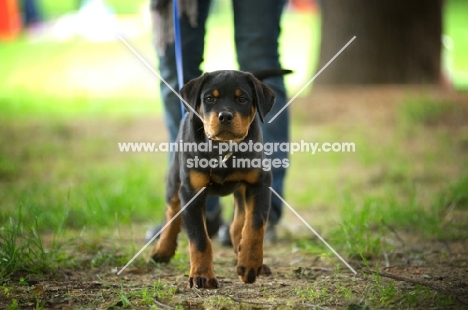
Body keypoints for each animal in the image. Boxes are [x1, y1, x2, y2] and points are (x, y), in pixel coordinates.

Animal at [152, 69, 280, 288]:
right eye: (209, 98)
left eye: (242, 99)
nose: (225, 116)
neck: (223, 148)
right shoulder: (191, 192)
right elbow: (199, 238)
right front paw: (202, 275)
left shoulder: (260, 183)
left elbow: (254, 226)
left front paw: (249, 263)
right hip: (174, 180)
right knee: (172, 211)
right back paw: (163, 249)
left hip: (242, 189)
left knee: (238, 223)